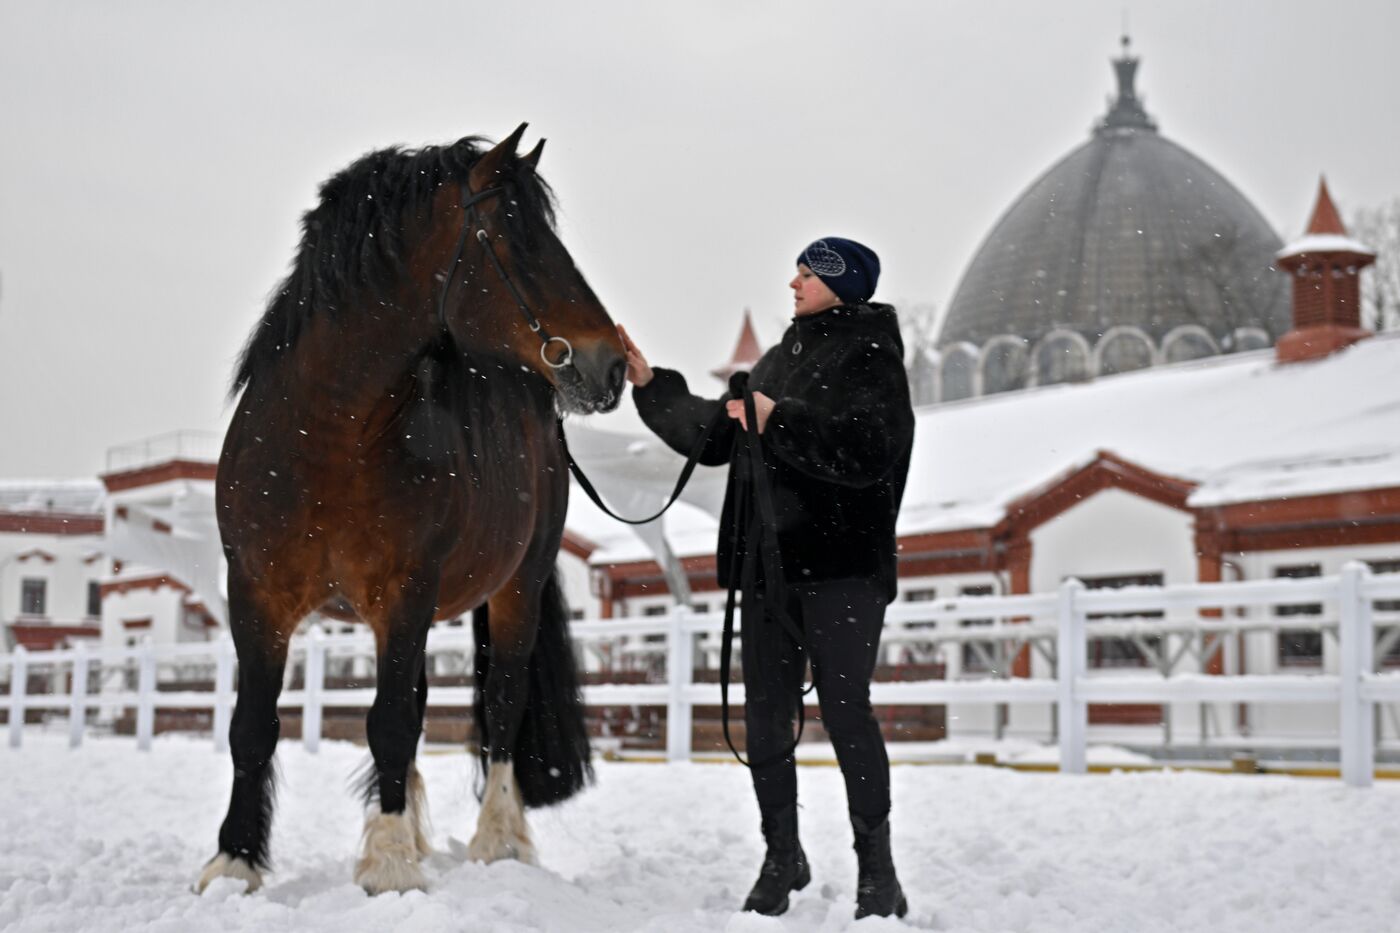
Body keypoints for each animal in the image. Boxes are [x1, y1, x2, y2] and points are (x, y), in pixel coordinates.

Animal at [196, 125, 624, 896]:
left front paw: (390, 866)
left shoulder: (405, 590)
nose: (611, 366)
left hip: (516, 588)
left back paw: (498, 842)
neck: (327, 434)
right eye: (515, 237)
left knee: (503, 705)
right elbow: (253, 726)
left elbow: (391, 722)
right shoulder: (257, 592)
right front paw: (234, 861)